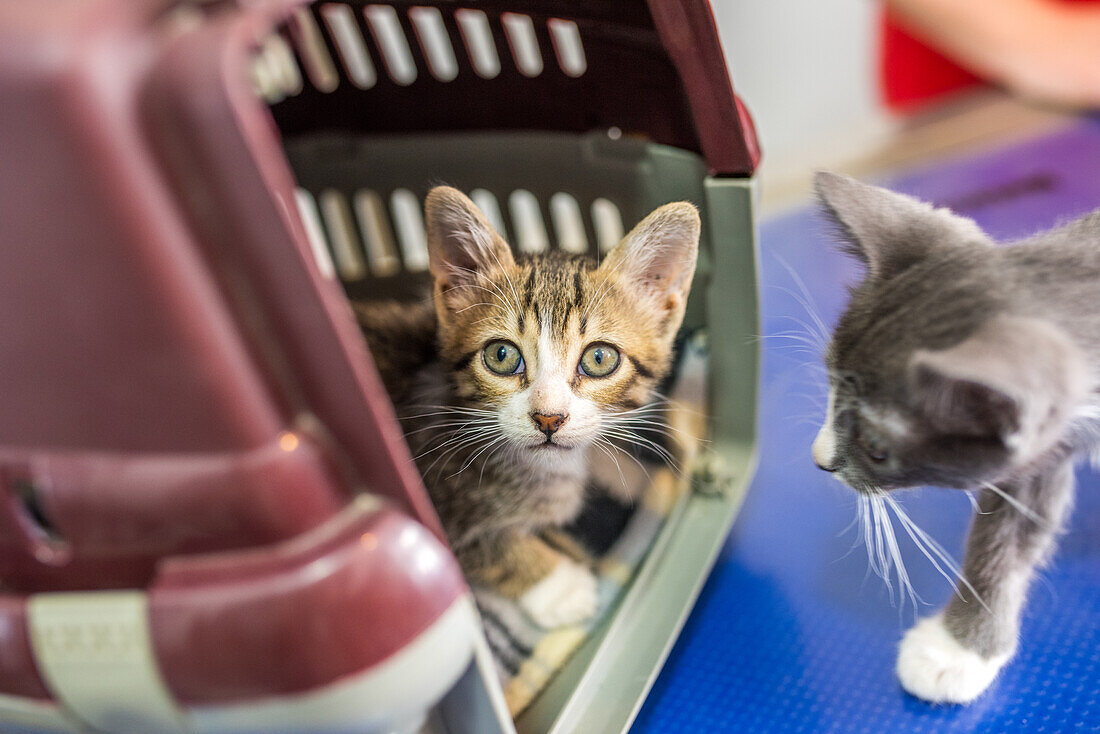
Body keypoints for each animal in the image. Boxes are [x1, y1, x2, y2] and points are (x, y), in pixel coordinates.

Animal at [363, 187, 704, 629]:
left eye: (599, 359)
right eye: (502, 355)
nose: (549, 418)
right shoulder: (428, 498)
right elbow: (485, 546)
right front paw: (562, 587)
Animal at [809, 172, 1100, 704]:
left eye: (877, 450)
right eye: (831, 377)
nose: (821, 459)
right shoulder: (1036, 451)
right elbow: (1004, 536)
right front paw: (958, 650)